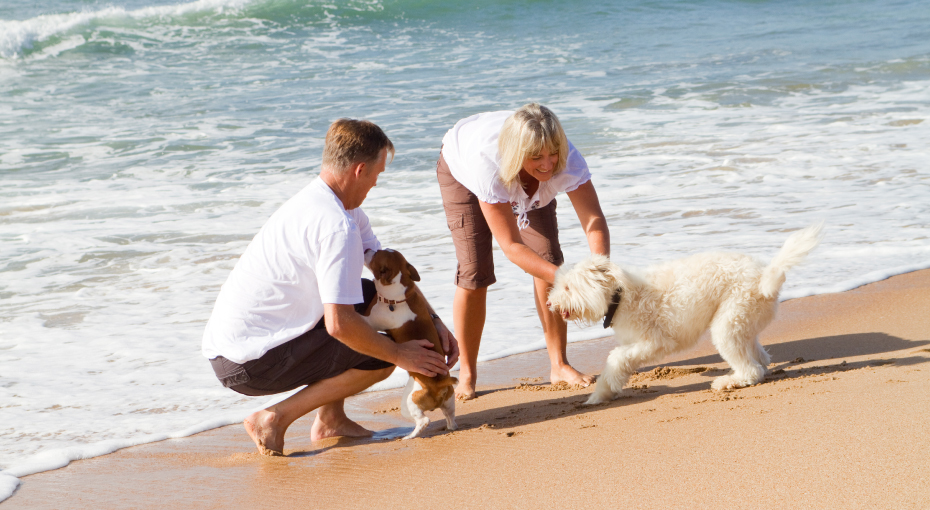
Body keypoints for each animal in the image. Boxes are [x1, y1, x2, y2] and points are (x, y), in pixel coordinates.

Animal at [360, 250, 454, 438]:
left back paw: (409, 436)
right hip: (449, 400)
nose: (366, 249)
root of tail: (438, 385)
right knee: (450, 414)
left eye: (374, 255)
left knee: (424, 420)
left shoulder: (370, 321)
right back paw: (449, 427)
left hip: (408, 404)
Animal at [548, 225, 824, 404]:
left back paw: (728, 382)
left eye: (568, 287)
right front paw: (602, 393)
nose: (550, 303)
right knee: (760, 357)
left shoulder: (654, 342)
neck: (620, 295)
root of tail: (766, 275)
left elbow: (616, 358)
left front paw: (604, 390)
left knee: (752, 371)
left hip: (727, 325)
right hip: (742, 321)